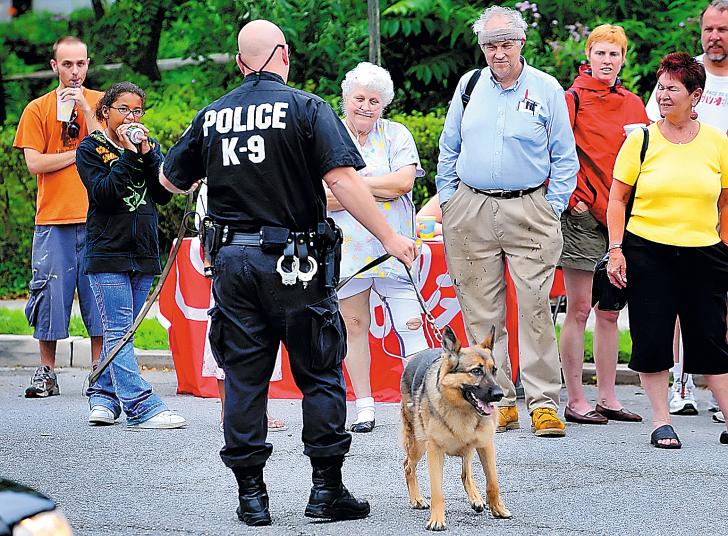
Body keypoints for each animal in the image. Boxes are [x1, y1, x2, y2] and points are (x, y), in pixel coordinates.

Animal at [398, 324, 512, 528]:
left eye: (494, 370)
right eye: (476, 371)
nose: (499, 394)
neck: (462, 408)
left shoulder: (486, 445)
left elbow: (493, 482)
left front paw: (498, 509)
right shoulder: (434, 451)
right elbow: (437, 491)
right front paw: (437, 520)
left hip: (470, 447)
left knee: (466, 473)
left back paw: (475, 498)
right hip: (418, 445)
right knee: (408, 466)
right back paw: (417, 499)